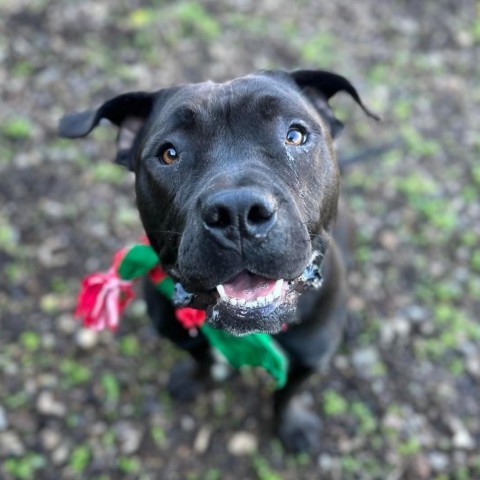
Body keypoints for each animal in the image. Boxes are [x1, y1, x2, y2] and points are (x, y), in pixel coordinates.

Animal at [59, 69, 376, 452]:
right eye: (169, 154)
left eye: (295, 135)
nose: (237, 211)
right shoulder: (180, 334)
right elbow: (199, 358)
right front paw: (194, 379)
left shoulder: (309, 359)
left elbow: (286, 395)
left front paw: (292, 426)